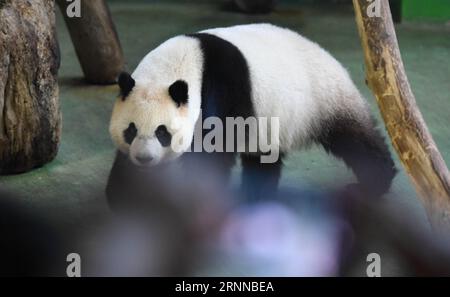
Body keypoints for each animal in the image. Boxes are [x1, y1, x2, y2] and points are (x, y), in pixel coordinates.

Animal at [108, 24, 398, 202]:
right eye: (131, 129)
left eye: (163, 132)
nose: (145, 159)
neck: (183, 62)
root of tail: (329, 56)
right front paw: (123, 196)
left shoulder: (219, 89)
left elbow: (212, 150)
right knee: (263, 158)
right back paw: (256, 194)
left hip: (322, 99)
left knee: (354, 139)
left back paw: (372, 184)